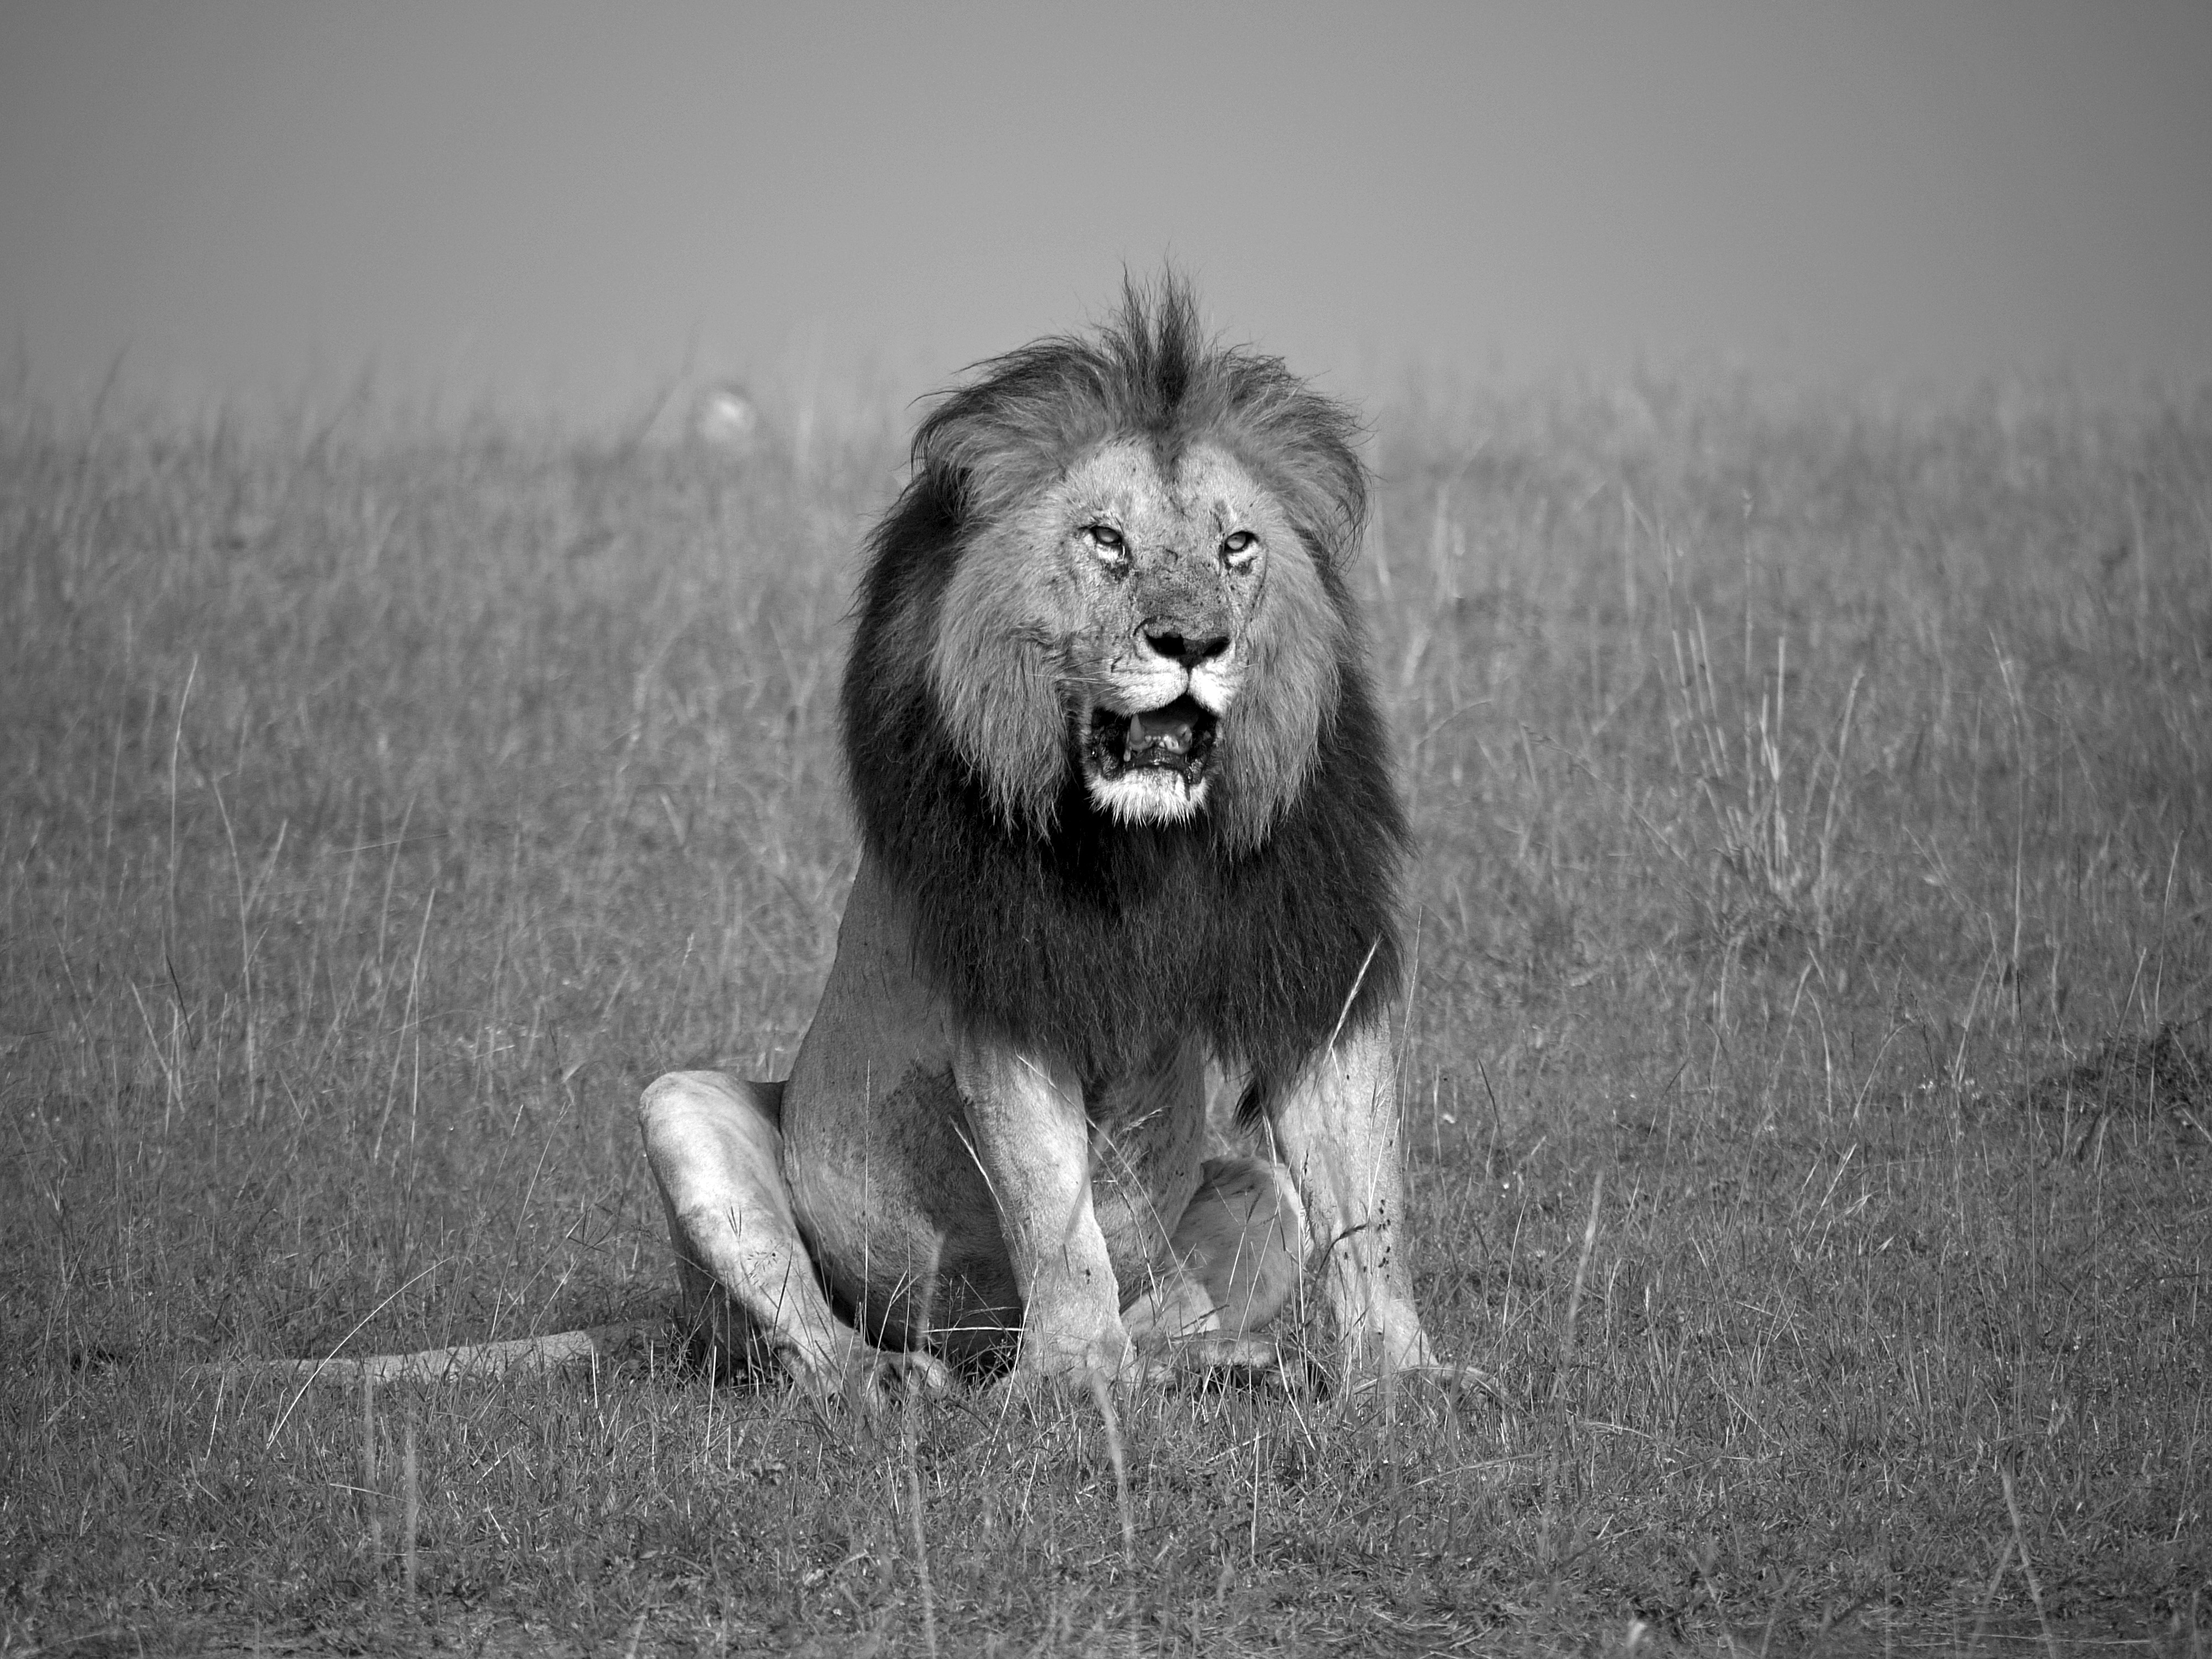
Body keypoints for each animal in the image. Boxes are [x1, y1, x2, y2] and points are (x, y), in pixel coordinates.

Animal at [635, 279, 1465, 1400]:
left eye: (1237, 547)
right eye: (1106, 540)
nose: (1195, 643)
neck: (1147, 844)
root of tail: (973, 1352)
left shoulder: (1312, 951)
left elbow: (1363, 1200)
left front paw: (1406, 1375)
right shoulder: (1009, 972)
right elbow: (1052, 1207)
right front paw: (1074, 1377)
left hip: (1249, 1194)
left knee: (1219, 1272)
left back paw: (1224, 1366)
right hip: (687, 1116)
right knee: (811, 1346)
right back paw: (900, 1381)